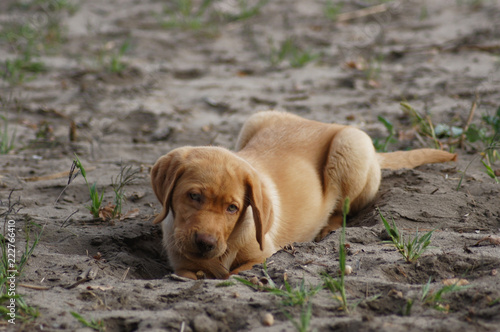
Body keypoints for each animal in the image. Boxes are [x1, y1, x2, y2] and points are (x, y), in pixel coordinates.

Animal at [149, 110, 458, 278]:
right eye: (194, 196)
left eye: (232, 208)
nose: (205, 243)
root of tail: (321, 122)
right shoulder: (180, 263)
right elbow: (191, 272)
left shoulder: (264, 255)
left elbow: (236, 272)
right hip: (254, 120)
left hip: (351, 146)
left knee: (343, 209)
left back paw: (327, 229)